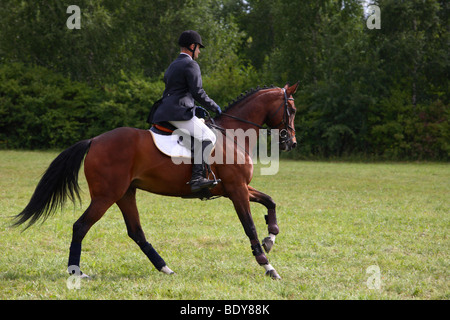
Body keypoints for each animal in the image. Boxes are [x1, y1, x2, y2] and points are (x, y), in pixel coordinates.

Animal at [12, 82, 298, 280]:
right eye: (292, 109)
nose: (292, 143)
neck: (233, 134)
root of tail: (94, 140)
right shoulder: (237, 189)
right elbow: (249, 226)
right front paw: (267, 265)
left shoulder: (236, 188)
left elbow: (270, 202)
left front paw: (271, 238)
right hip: (106, 196)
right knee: (80, 226)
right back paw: (76, 271)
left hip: (125, 194)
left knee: (136, 232)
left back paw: (165, 268)